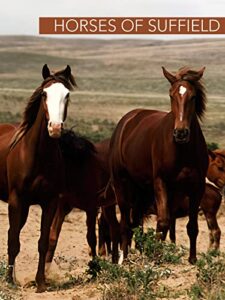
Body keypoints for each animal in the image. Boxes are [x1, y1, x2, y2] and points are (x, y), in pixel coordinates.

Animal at [0, 64, 76, 292]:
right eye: (44, 94)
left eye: (67, 95)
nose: (55, 128)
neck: (37, 156)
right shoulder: (15, 201)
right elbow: (13, 241)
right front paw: (9, 281)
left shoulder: (49, 202)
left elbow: (43, 242)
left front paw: (40, 282)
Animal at [108, 67, 208, 264]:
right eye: (171, 95)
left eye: (193, 96)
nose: (181, 133)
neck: (182, 150)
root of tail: (126, 121)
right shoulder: (160, 183)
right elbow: (162, 222)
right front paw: (156, 255)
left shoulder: (196, 188)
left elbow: (190, 226)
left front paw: (192, 259)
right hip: (122, 186)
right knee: (125, 224)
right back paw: (124, 259)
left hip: (142, 191)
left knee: (136, 223)